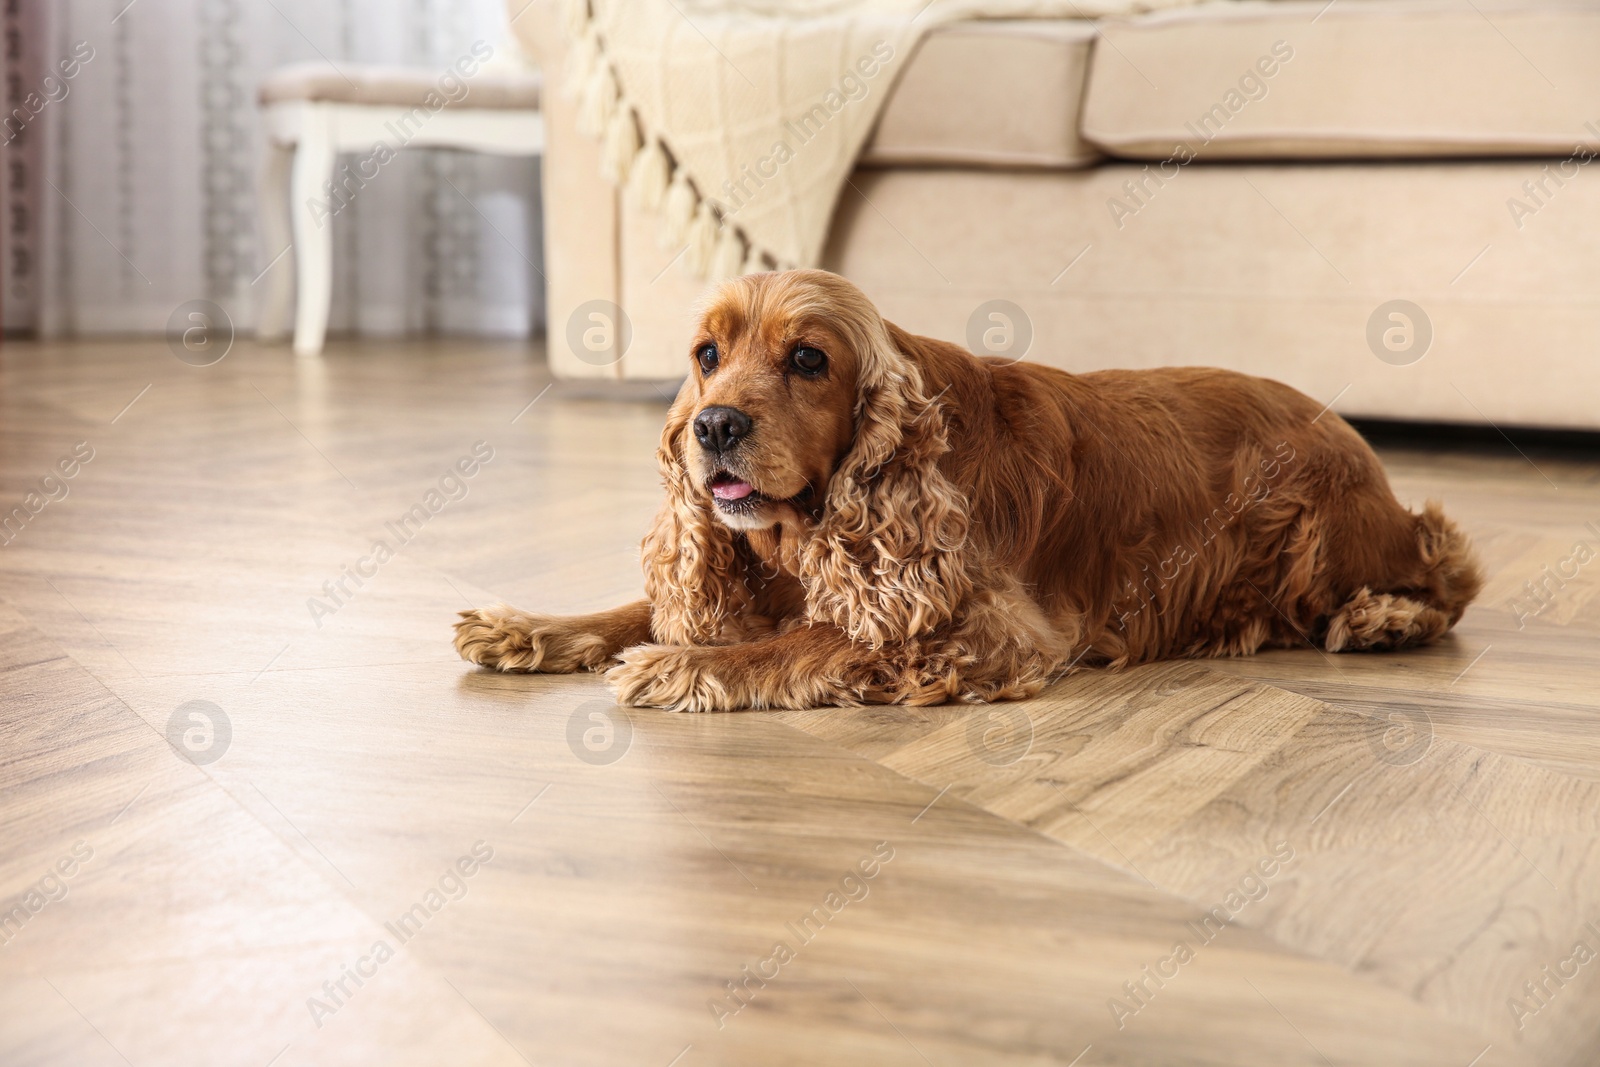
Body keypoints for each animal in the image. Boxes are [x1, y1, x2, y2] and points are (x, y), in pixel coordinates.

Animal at [457, 271, 1478, 713]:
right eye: (707, 355)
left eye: (808, 359)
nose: (712, 427)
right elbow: (640, 607)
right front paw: (525, 627)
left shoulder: (996, 630)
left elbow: (818, 638)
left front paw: (680, 669)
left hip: (1325, 539)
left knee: (1448, 569)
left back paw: (1382, 619)